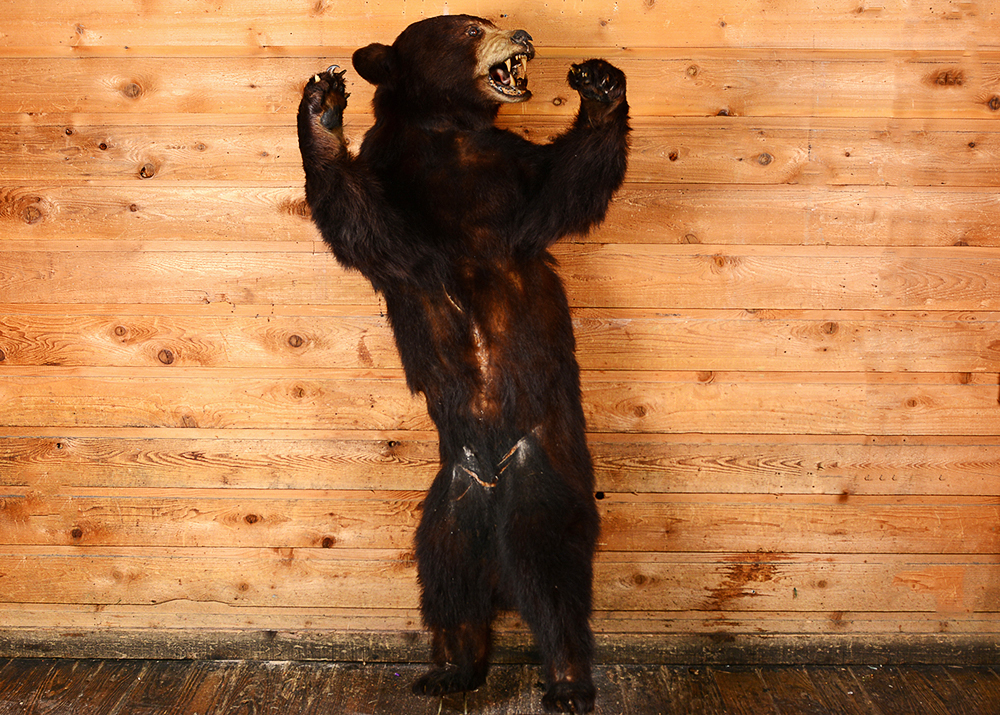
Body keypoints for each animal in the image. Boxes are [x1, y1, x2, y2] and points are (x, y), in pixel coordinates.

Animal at [296, 14, 629, 713]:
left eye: (489, 19)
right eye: (471, 28)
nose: (522, 33)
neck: (448, 134)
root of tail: (489, 501)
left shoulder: (510, 176)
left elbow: (565, 188)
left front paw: (599, 84)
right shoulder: (398, 186)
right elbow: (365, 224)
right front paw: (321, 104)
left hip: (540, 481)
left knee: (551, 582)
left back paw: (566, 680)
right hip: (446, 508)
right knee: (446, 582)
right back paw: (450, 666)